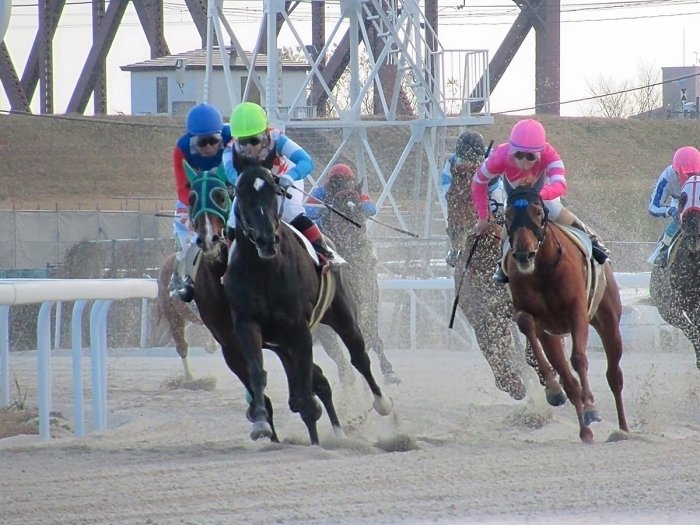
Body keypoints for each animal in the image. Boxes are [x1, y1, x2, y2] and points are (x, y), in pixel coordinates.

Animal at [314, 184, 400, 384]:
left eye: (360, 208)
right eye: (338, 208)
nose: (357, 240)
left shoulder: (370, 295)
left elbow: (372, 333)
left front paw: (389, 371)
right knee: (337, 355)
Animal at [504, 180, 628, 442]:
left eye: (537, 211)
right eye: (506, 215)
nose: (523, 254)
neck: (543, 269)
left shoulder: (576, 311)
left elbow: (579, 359)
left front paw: (591, 406)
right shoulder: (541, 323)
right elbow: (526, 323)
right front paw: (554, 390)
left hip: (609, 321)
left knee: (614, 375)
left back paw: (623, 429)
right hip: (554, 334)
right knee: (570, 381)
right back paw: (585, 430)